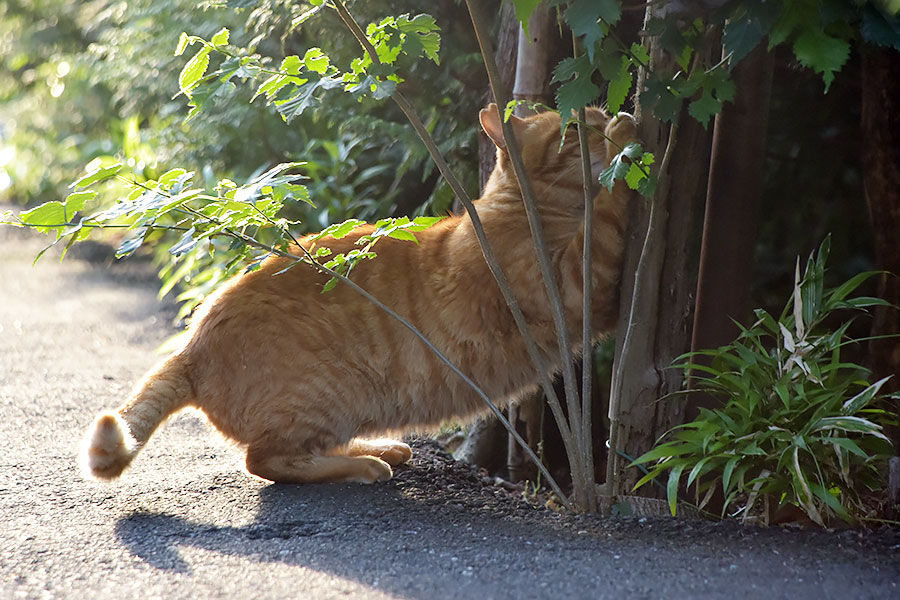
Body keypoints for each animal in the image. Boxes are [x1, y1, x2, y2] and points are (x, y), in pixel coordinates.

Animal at [81, 104, 636, 482]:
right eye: (572, 128)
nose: (603, 113)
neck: (518, 209)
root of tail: (192, 343)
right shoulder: (574, 288)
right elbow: (611, 209)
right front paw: (627, 133)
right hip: (327, 392)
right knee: (265, 460)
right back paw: (365, 466)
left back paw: (381, 450)